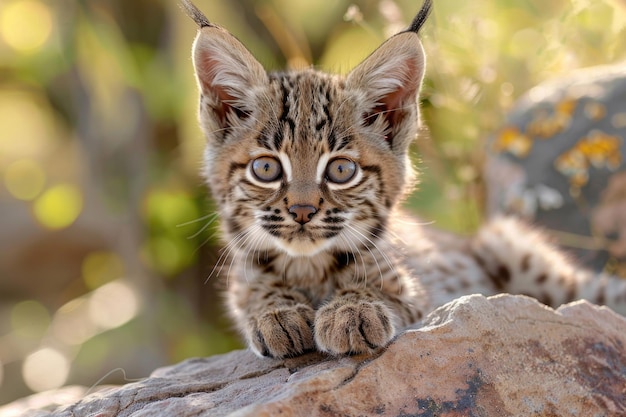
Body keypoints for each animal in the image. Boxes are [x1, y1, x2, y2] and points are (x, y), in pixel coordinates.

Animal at [182, 0, 624, 358]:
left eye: (341, 170)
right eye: (266, 169)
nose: (303, 212)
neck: (309, 265)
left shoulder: (431, 295)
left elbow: (380, 284)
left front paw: (351, 310)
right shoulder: (241, 279)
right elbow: (256, 287)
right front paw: (278, 311)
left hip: (516, 249)